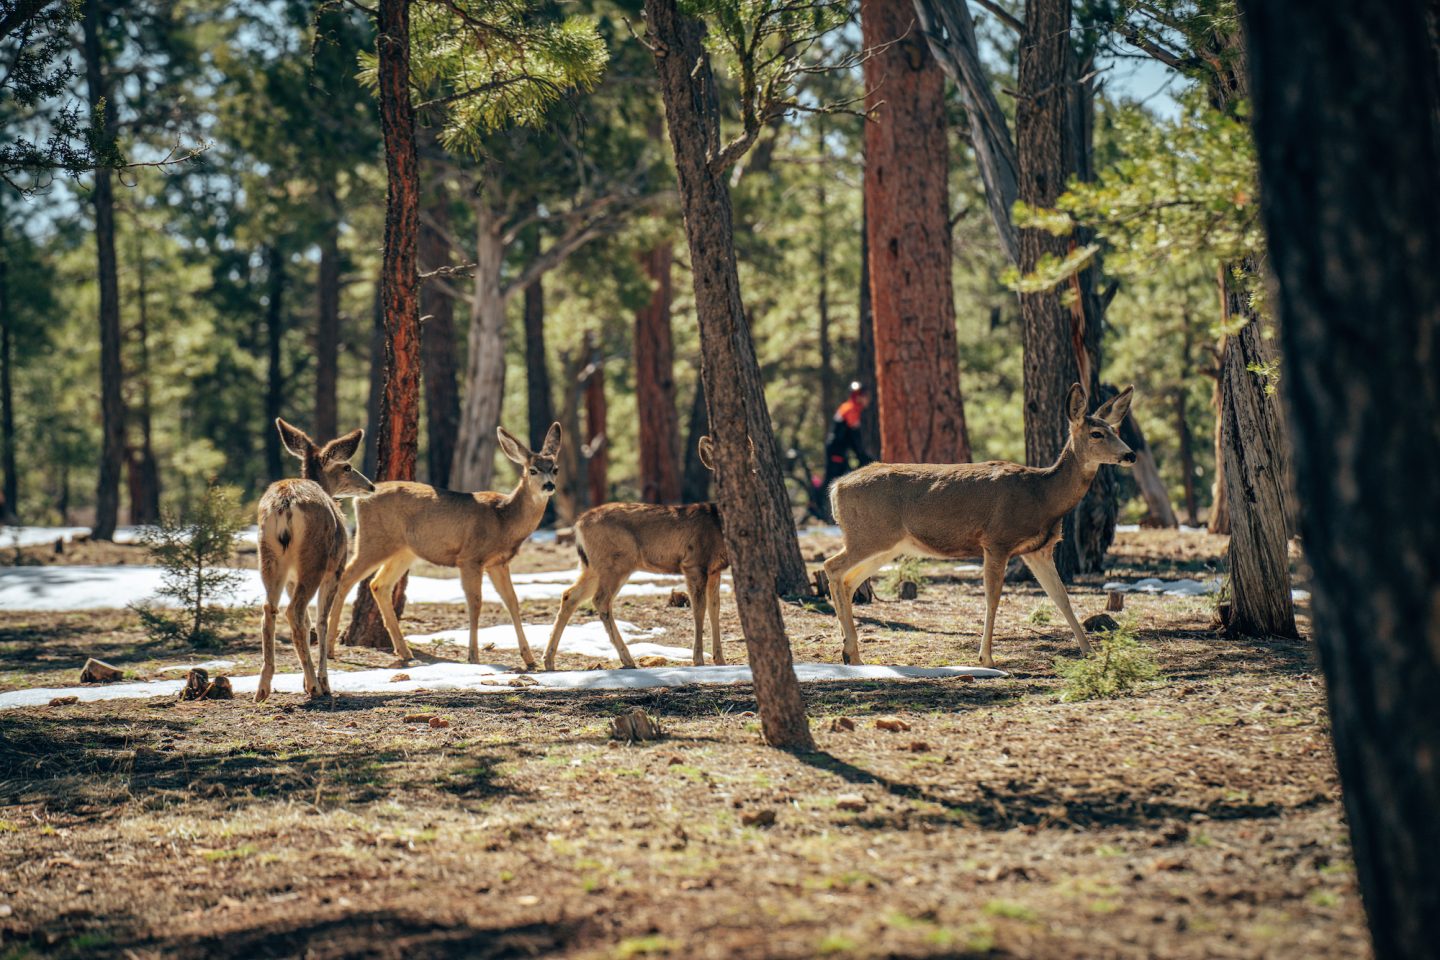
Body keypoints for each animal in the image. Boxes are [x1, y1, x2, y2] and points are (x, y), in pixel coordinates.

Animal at [256, 417, 374, 702]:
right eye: (347, 466)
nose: (371, 486)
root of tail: (285, 504)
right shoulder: (336, 570)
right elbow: (321, 621)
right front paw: (324, 681)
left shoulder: (291, 578)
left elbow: (309, 621)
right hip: (315, 559)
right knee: (294, 611)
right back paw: (314, 685)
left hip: (269, 557)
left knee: (269, 610)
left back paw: (263, 687)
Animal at [329, 423, 561, 673]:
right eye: (533, 470)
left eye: (555, 469)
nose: (549, 485)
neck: (504, 519)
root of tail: (359, 499)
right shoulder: (470, 557)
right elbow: (475, 602)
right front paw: (473, 656)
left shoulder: (498, 562)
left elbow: (512, 602)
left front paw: (529, 659)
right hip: (374, 540)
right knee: (346, 577)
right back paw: (331, 648)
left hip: (404, 550)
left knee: (379, 584)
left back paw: (404, 651)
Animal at [547, 437, 737, 673]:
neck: (718, 525)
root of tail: (579, 523)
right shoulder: (693, 563)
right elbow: (699, 609)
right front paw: (699, 660)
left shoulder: (714, 569)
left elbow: (714, 609)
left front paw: (720, 660)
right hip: (616, 562)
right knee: (600, 600)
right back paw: (627, 658)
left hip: (593, 566)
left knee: (569, 595)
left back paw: (548, 660)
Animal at [823, 382, 1134, 667]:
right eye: (1096, 433)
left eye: (1115, 430)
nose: (1130, 455)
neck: (1043, 496)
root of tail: (836, 488)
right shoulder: (997, 540)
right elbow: (993, 598)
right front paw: (986, 658)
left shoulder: (1038, 550)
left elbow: (1061, 597)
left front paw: (1089, 652)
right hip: (869, 535)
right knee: (832, 567)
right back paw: (850, 651)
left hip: (888, 545)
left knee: (849, 579)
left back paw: (851, 653)